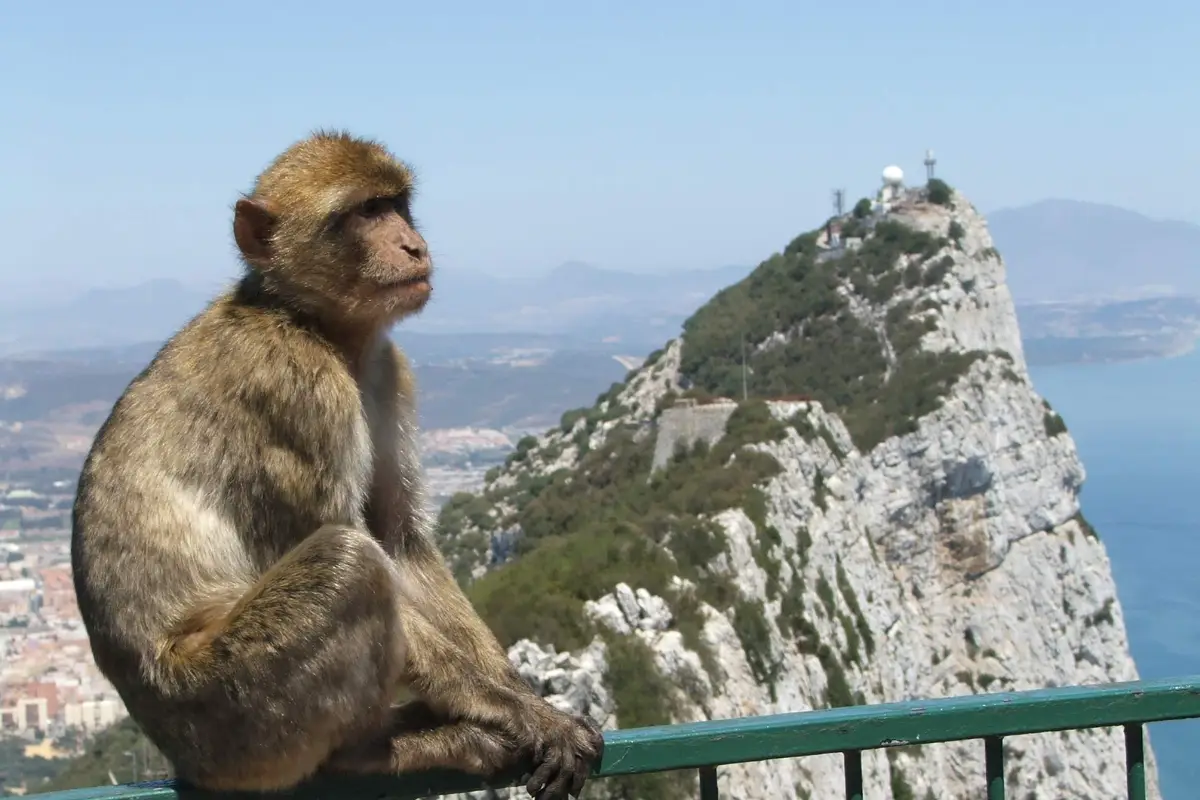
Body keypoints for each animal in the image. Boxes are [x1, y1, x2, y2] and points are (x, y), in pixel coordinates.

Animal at [70, 130, 604, 799]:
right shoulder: (298, 388)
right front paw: (518, 712)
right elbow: (359, 547)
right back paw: (364, 752)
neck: (309, 322)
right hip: (234, 715)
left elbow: (400, 542)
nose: (412, 244)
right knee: (348, 564)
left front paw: (519, 692)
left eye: (396, 205)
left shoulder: (387, 371)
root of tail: (178, 754)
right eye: (363, 213)